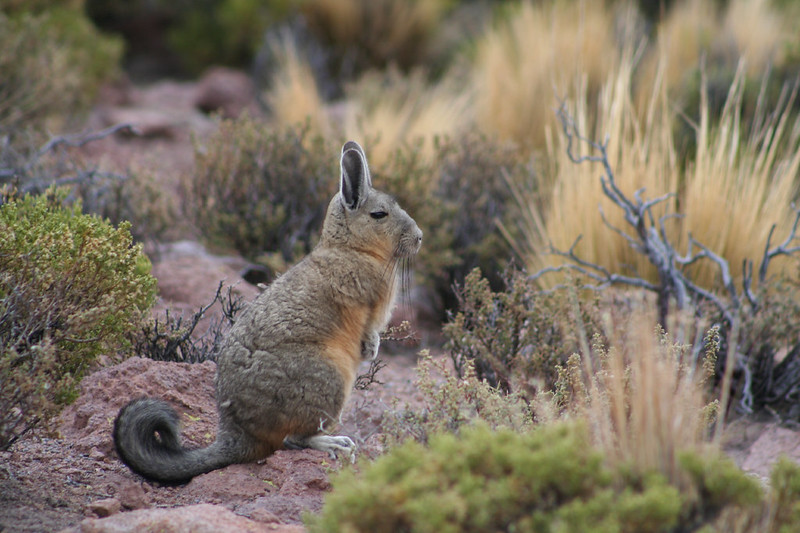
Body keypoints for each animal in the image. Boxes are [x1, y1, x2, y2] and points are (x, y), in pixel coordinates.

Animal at [113, 140, 422, 483]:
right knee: (293, 439)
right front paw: (370, 349)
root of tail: (236, 436)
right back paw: (336, 444)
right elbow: (370, 330)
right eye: (379, 214)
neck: (353, 249)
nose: (420, 237)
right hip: (329, 380)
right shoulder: (366, 305)